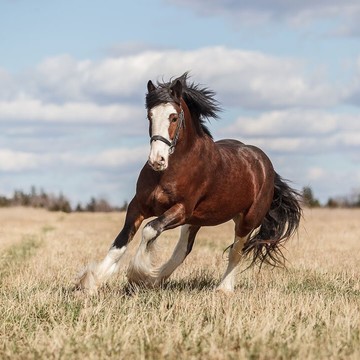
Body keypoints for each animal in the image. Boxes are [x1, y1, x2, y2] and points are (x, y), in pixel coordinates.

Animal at [76, 71, 300, 294]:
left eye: (173, 117)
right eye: (150, 116)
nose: (157, 160)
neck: (169, 170)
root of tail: (265, 164)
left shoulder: (182, 209)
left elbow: (150, 230)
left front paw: (136, 273)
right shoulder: (138, 206)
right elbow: (120, 244)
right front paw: (91, 282)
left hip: (247, 219)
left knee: (236, 251)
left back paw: (223, 289)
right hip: (197, 220)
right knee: (183, 249)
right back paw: (154, 280)